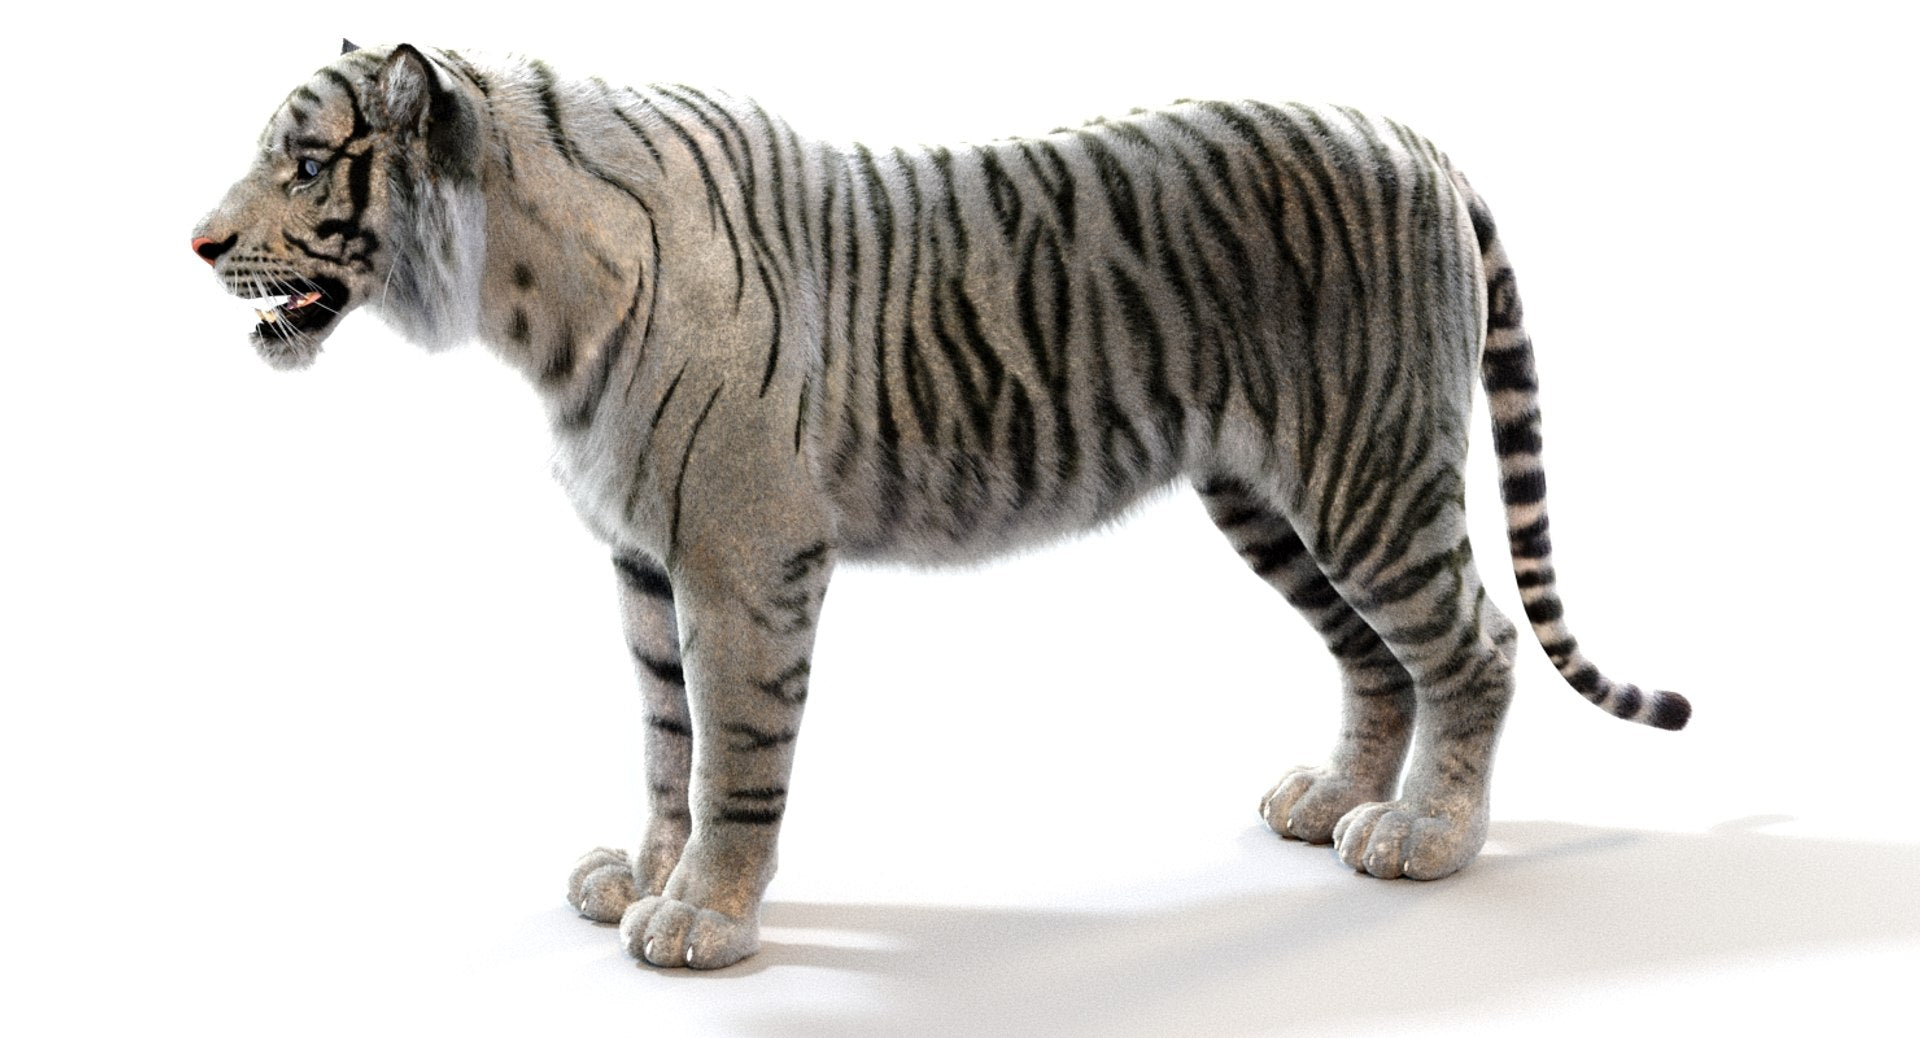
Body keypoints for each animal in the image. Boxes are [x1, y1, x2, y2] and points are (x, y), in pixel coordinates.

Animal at [191, 41, 1688, 970]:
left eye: (307, 164)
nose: (197, 243)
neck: (528, 307)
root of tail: (1416, 136)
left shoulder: (742, 558)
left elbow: (734, 757)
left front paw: (703, 921)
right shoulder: (640, 565)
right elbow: (665, 746)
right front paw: (643, 873)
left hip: (1365, 468)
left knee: (1472, 644)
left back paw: (1426, 837)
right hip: (1267, 492)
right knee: (1377, 656)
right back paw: (1332, 801)